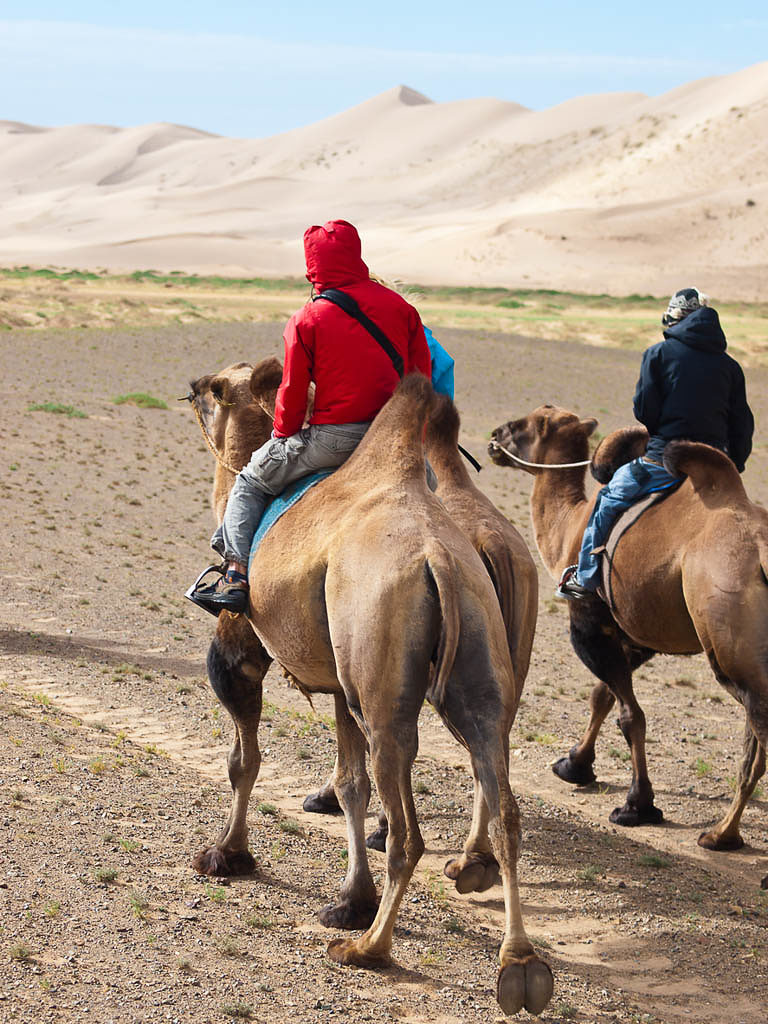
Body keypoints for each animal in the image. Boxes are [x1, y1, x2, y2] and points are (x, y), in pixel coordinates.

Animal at [187, 364, 557, 1011]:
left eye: (217, 390)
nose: (190, 385)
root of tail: (443, 558)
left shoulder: (241, 646)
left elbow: (244, 759)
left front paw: (227, 854)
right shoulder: (342, 683)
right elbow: (350, 785)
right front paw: (350, 899)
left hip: (383, 684)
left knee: (408, 830)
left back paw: (370, 949)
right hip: (477, 665)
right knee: (501, 791)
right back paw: (516, 960)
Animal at [489, 401, 768, 880]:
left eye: (520, 426)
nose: (492, 439)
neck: (570, 526)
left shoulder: (588, 622)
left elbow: (629, 715)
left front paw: (637, 805)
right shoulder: (635, 635)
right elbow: (602, 696)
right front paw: (574, 764)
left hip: (732, 652)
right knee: (754, 748)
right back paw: (722, 836)